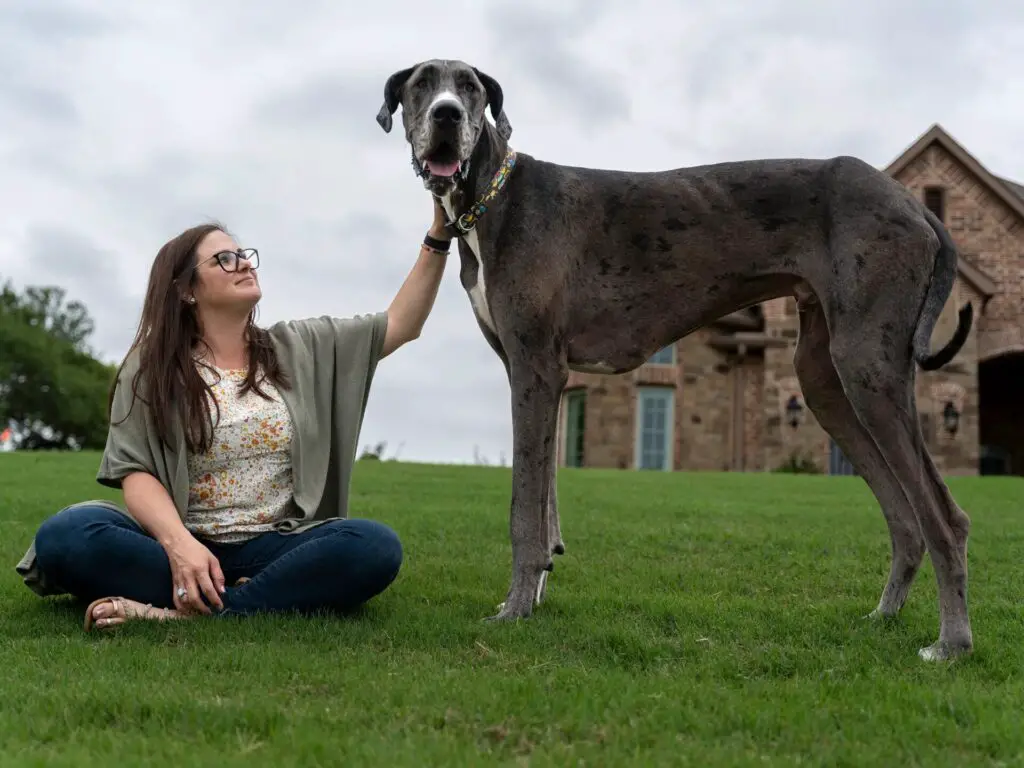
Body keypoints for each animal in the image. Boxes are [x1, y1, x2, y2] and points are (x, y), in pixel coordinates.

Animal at [376, 58, 974, 663]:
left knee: (945, 516)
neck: (493, 198)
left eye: (469, 87)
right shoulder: (541, 378)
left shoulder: (535, 369)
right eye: (421, 85)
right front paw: (535, 593)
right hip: (825, 380)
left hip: (867, 367)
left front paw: (515, 609)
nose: (446, 116)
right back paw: (884, 616)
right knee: (905, 517)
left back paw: (951, 642)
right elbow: (545, 502)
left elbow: (525, 508)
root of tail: (915, 205)